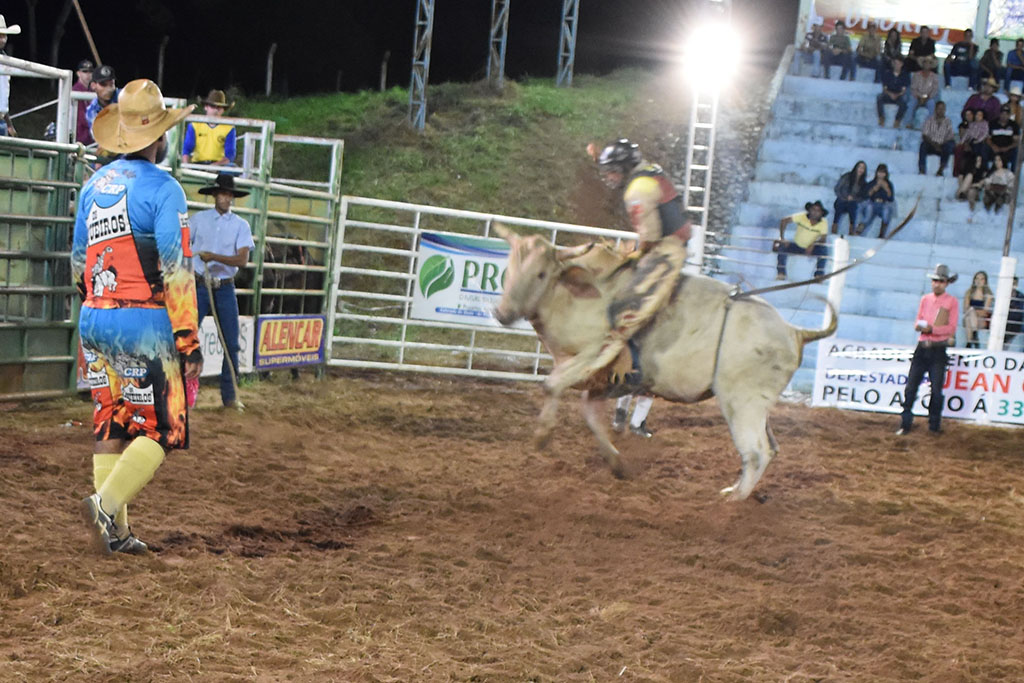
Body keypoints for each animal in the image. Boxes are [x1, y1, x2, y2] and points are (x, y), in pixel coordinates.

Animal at [492, 225, 837, 501]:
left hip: (742, 402)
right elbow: (590, 412)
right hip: (757, 405)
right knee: (770, 447)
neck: (580, 293)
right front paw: (616, 463)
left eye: (540, 273)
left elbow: (551, 385)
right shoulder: (610, 380)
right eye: (510, 267)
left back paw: (733, 501)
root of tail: (795, 332)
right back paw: (737, 490)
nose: (502, 313)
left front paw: (542, 436)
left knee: (756, 452)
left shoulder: (597, 351)